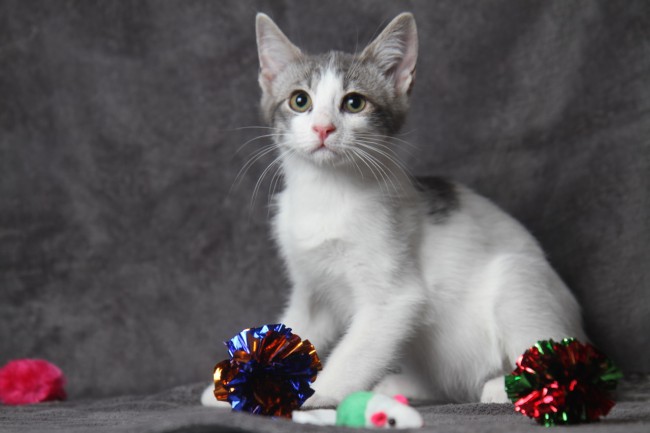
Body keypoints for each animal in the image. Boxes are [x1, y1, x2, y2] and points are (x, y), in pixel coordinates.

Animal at [202, 12, 586, 409]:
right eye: (299, 100)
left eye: (354, 103)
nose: (323, 128)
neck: (326, 193)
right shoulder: (312, 289)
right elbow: (295, 332)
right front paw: (247, 386)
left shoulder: (394, 298)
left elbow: (356, 350)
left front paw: (312, 392)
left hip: (518, 282)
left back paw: (506, 386)